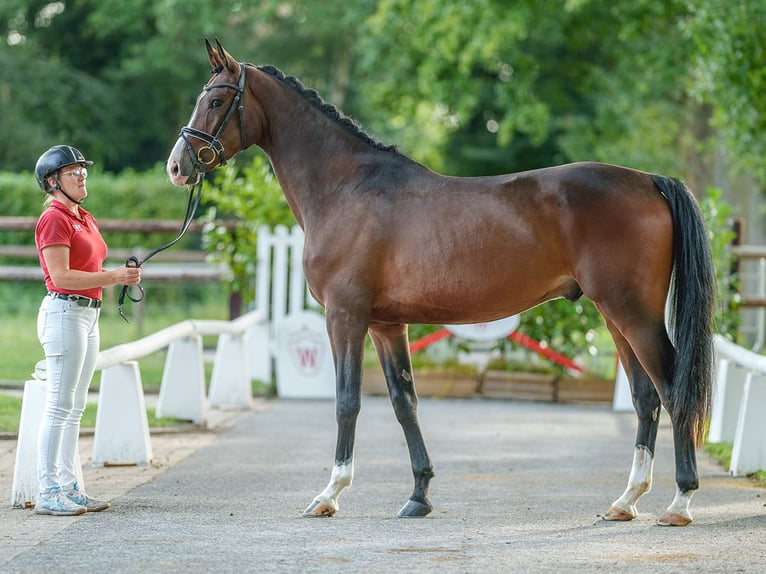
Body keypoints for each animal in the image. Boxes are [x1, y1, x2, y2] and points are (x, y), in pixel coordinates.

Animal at [168, 38, 720, 528]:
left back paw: (679, 503)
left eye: (215, 100)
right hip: (614, 315)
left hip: (634, 314)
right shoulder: (386, 326)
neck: (346, 188)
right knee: (645, 398)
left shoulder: (344, 316)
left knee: (672, 392)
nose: (177, 166)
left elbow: (347, 401)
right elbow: (404, 403)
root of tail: (650, 181)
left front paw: (329, 494)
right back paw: (625, 501)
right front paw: (419, 495)